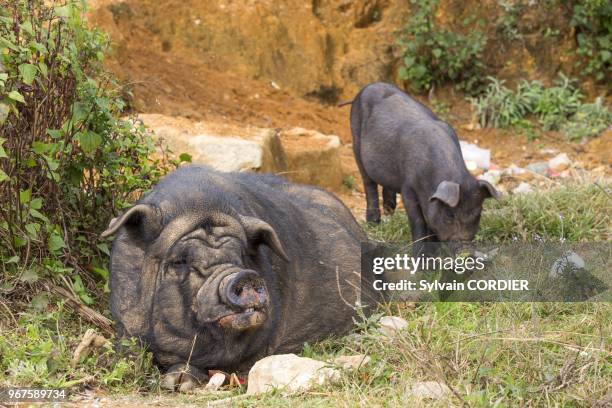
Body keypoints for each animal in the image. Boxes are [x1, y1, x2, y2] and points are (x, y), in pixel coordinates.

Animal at [346, 81, 500, 244]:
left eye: (478, 213)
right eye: (450, 215)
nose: (464, 243)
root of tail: (368, 86)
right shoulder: (407, 187)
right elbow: (418, 221)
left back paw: (389, 212)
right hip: (356, 143)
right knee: (368, 184)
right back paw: (374, 223)